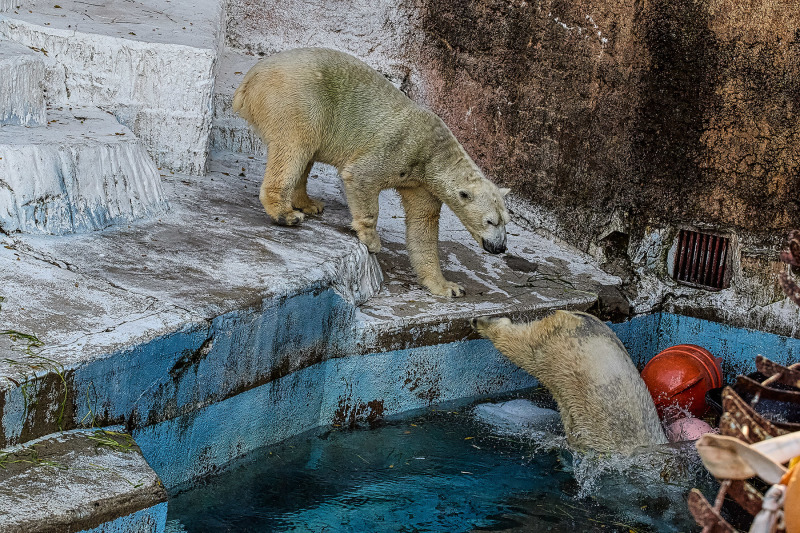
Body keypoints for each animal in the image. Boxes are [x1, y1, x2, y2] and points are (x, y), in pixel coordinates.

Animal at [231, 47, 510, 298]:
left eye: (505, 221)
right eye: (490, 221)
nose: (501, 248)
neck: (434, 151)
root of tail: (248, 79)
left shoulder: (422, 184)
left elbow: (423, 226)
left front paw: (447, 286)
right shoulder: (400, 147)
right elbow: (361, 176)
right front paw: (372, 240)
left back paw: (308, 204)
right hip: (297, 100)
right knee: (295, 146)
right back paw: (286, 214)